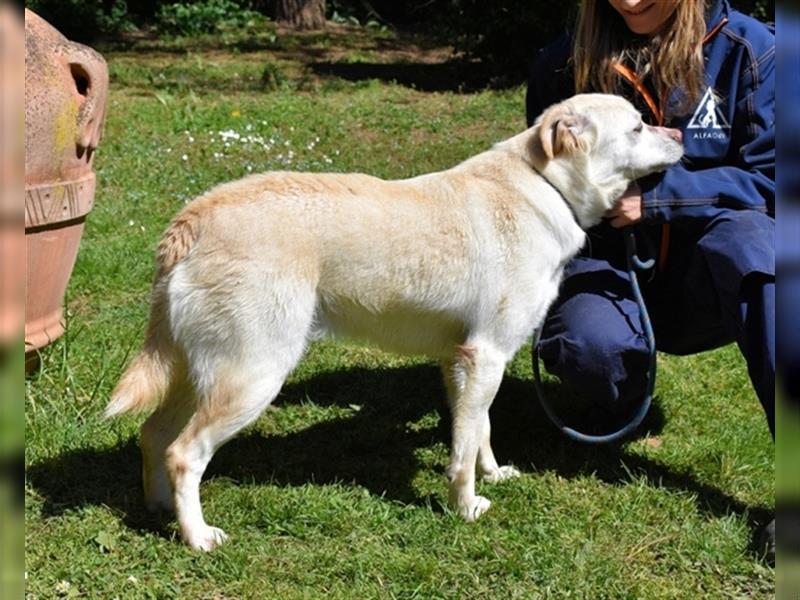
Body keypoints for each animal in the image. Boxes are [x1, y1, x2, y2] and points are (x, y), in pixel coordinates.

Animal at [104, 92, 680, 548]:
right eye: (637, 127)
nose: (678, 134)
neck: (544, 186)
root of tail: (194, 217)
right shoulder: (486, 355)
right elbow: (463, 449)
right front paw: (465, 506)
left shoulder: (464, 360)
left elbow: (479, 429)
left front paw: (493, 473)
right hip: (252, 377)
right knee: (183, 453)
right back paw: (197, 537)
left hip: (197, 373)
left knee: (153, 436)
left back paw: (161, 512)